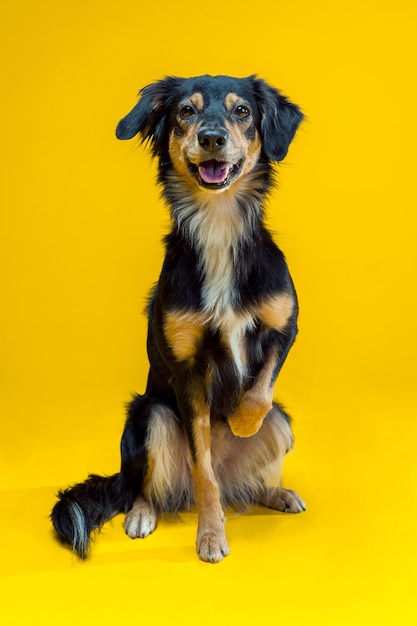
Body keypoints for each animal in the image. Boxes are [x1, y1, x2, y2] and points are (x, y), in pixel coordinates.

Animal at [52, 73, 306, 560]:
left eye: (242, 112)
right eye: (186, 111)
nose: (212, 138)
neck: (219, 224)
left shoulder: (285, 326)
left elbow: (259, 393)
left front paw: (241, 422)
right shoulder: (187, 370)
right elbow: (203, 469)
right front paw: (210, 536)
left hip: (283, 424)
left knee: (247, 481)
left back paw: (277, 493)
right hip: (149, 416)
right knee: (153, 486)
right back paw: (142, 514)